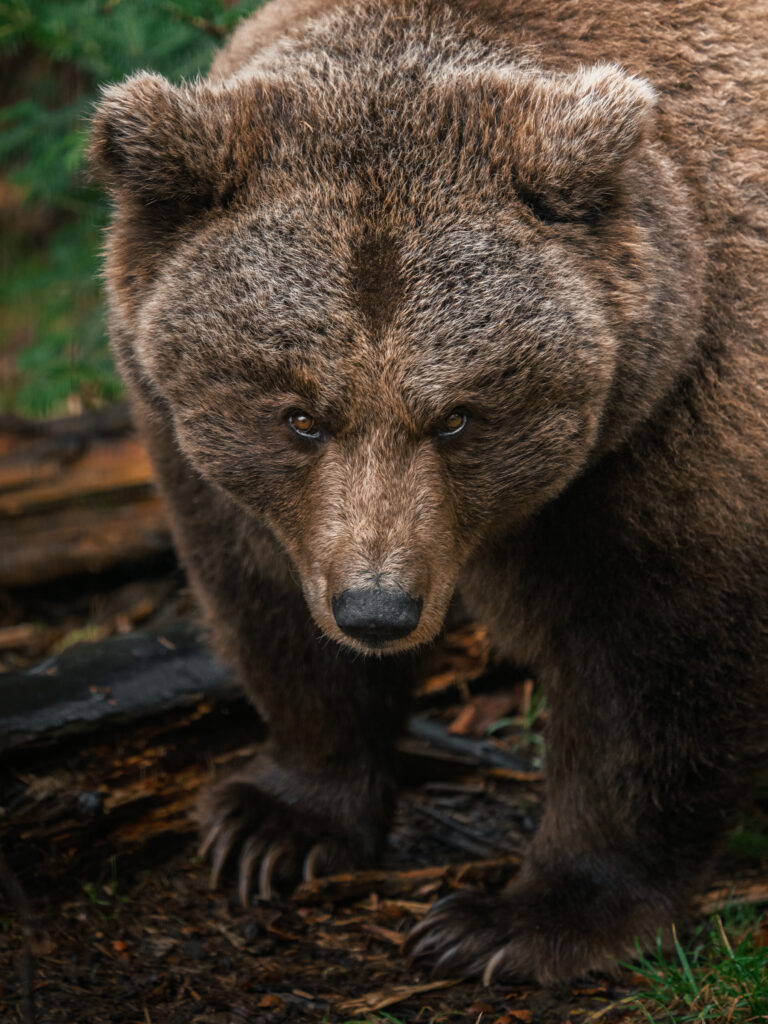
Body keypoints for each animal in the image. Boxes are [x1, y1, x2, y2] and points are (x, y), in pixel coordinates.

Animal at [89, 0, 768, 987]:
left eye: (457, 416)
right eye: (300, 415)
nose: (378, 608)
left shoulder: (681, 412)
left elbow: (656, 660)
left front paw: (516, 921)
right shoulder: (202, 449)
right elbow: (266, 597)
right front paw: (273, 824)